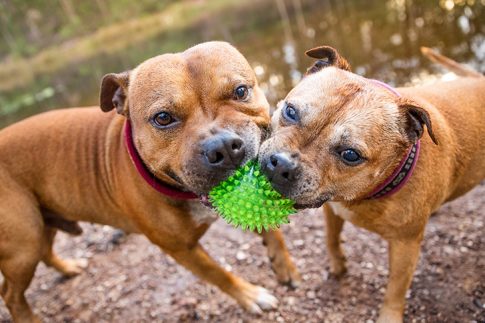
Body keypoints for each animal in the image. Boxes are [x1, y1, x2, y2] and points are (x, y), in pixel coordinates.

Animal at [0, 41, 300, 323]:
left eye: (240, 91)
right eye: (163, 118)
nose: (224, 147)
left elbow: (270, 227)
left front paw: (283, 265)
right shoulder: (182, 250)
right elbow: (218, 274)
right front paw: (251, 296)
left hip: (41, 223)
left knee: (45, 251)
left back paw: (69, 267)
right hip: (24, 243)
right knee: (11, 294)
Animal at [260, 46, 484, 323]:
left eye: (350, 155)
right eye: (291, 111)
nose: (281, 164)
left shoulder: (405, 246)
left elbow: (396, 287)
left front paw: (389, 315)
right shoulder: (332, 209)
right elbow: (331, 239)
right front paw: (338, 266)